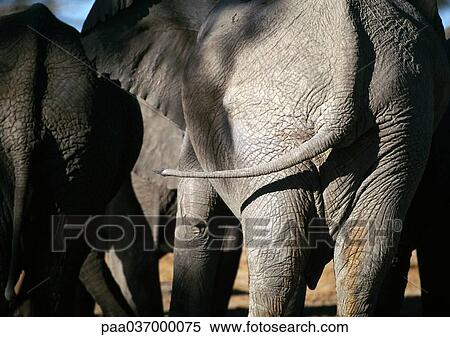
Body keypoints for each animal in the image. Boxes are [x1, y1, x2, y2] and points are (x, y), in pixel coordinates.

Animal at [81, 0, 450, 316]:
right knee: (364, 247)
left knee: (277, 249)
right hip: (398, 121)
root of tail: (346, 42)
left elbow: (198, 219)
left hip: (264, 115)